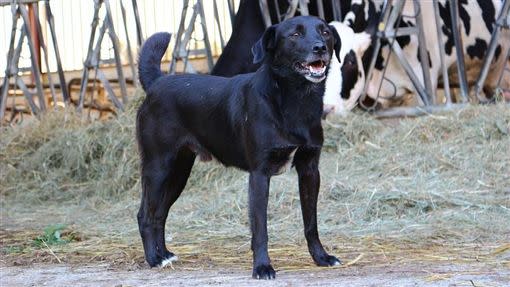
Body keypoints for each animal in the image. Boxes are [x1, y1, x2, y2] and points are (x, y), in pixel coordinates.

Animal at [137, 15, 340, 280]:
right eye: (295, 35)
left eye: (325, 32)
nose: (320, 48)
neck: (295, 99)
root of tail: (157, 82)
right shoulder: (259, 174)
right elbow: (260, 229)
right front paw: (262, 267)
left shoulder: (309, 170)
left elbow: (311, 223)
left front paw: (321, 257)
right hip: (158, 168)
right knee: (145, 215)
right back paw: (153, 259)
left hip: (179, 172)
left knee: (159, 214)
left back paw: (164, 255)